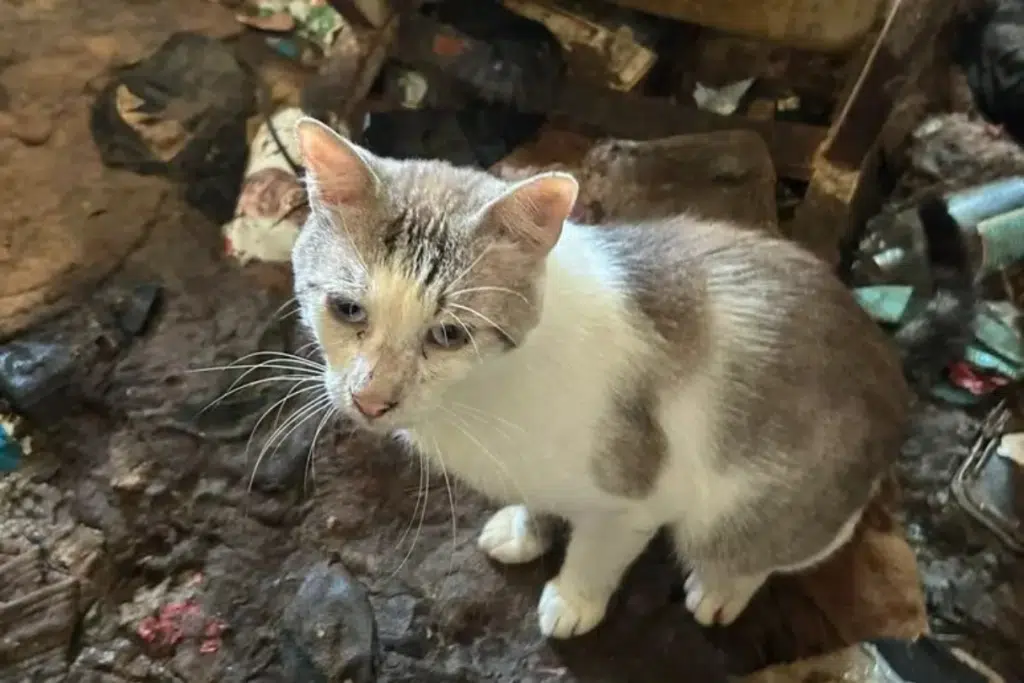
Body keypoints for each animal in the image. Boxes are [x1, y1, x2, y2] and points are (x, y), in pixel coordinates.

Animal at [288, 118, 974, 643]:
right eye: (347, 310)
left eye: (450, 334)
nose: (370, 400)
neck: (482, 395)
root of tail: (881, 344)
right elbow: (541, 499)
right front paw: (525, 530)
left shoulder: (638, 498)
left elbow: (597, 551)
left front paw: (573, 601)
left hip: (759, 500)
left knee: (792, 539)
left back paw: (722, 586)